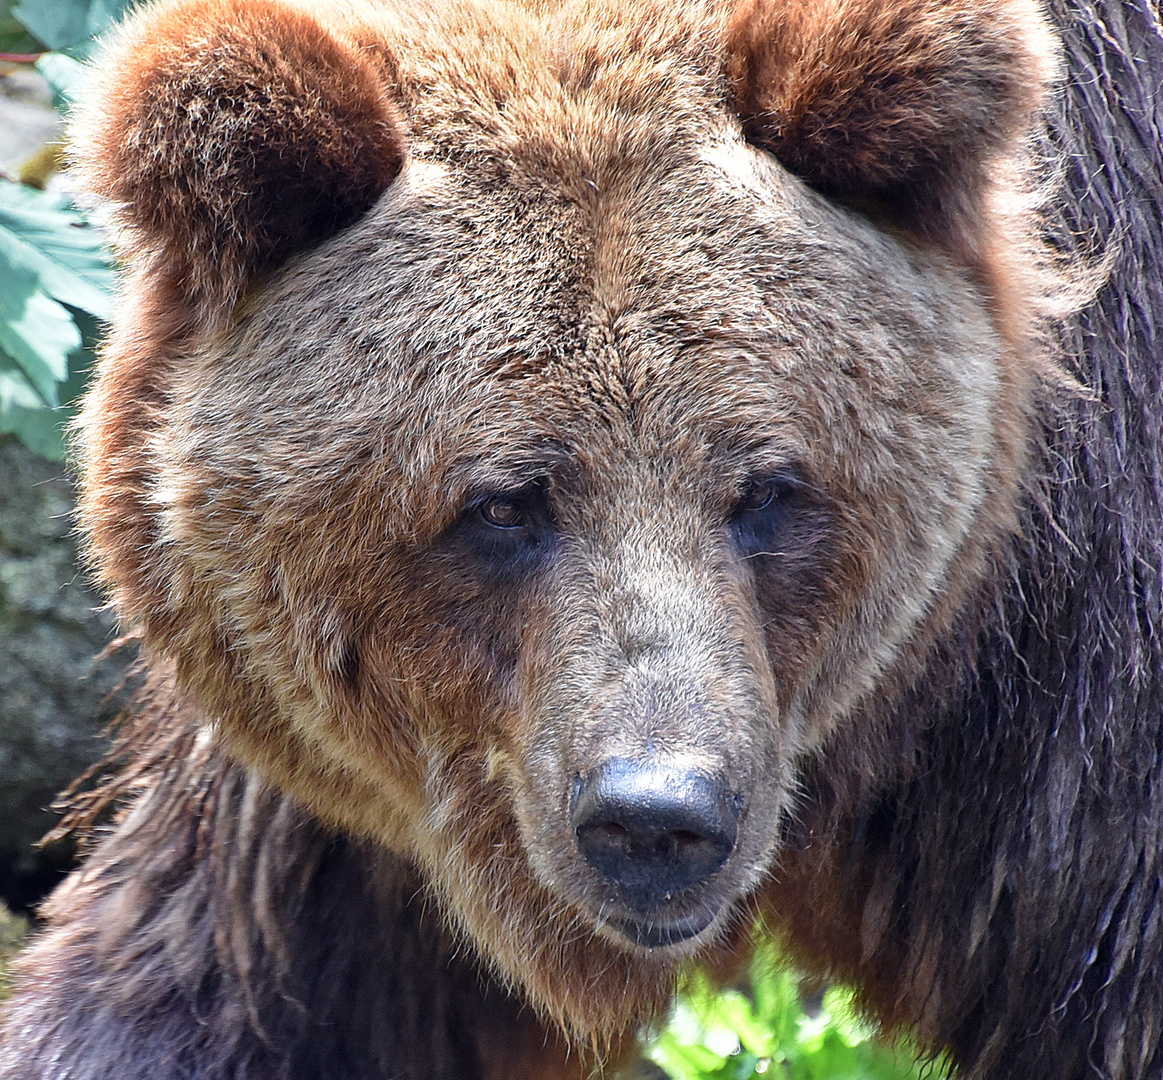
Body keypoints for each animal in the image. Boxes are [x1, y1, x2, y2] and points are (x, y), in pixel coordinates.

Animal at [0, 0, 1158, 1074]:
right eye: (504, 504)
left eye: (768, 488)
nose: (654, 816)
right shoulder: (343, 817)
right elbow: (205, 984)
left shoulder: (1074, 718)